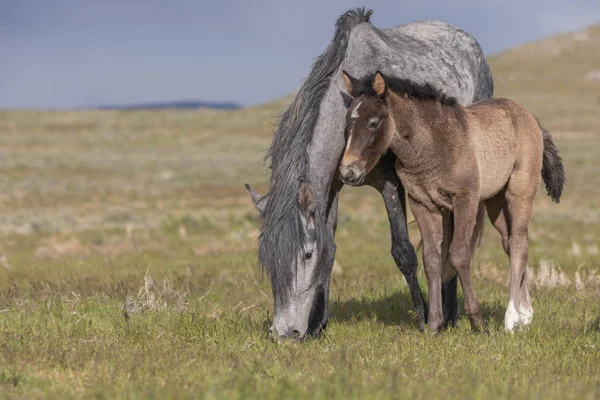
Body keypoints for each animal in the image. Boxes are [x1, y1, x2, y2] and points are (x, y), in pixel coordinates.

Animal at [244, 7, 492, 340]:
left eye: (305, 254)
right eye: (269, 258)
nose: (284, 333)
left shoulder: (390, 183)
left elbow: (403, 251)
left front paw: (423, 318)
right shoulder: (331, 186)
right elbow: (330, 247)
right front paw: (318, 324)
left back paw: (450, 314)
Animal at [340, 71, 564, 332]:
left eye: (373, 123)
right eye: (347, 124)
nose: (348, 172)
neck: (431, 145)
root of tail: (529, 117)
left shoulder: (464, 200)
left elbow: (459, 254)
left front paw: (477, 321)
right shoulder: (422, 204)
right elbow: (431, 259)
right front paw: (433, 325)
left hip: (520, 191)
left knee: (519, 243)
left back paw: (512, 318)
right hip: (495, 202)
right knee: (509, 242)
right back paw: (525, 315)